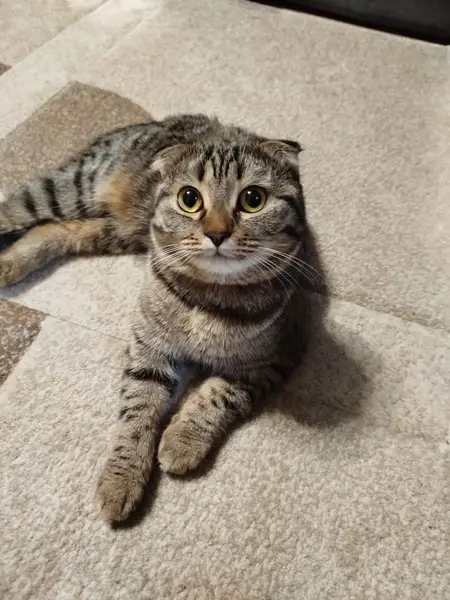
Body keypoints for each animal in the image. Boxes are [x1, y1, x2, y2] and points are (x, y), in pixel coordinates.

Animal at [0, 114, 317, 522]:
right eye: (189, 199)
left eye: (253, 199)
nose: (216, 233)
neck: (208, 298)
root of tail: (150, 121)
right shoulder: (148, 349)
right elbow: (137, 414)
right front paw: (121, 478)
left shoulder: (272, 361)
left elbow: (216, 397)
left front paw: (181, 441)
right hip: (66, 191)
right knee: (14, 209)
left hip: (110, 232)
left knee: (56, 230)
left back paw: (9, 263)